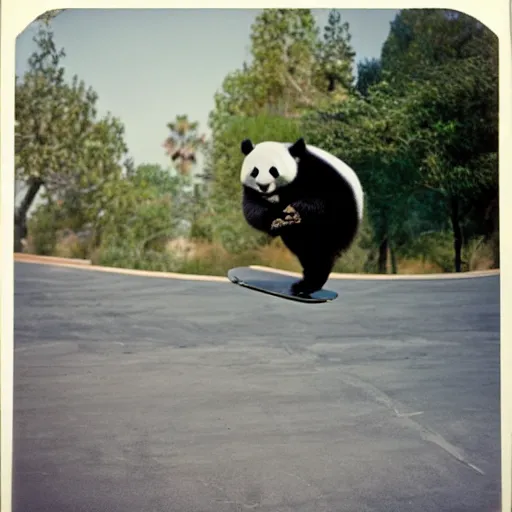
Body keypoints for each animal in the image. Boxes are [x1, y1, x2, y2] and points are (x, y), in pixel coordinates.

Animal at [240, 137, 364, 296]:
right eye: (255, 171)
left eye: (273, 170)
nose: (263, 186)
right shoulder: (252, 191)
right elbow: (252, 210)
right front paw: (275, 219)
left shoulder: (317, 174)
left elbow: (323, 200)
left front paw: (297, 209)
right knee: (305, 250)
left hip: (341, 223)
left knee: (321, 250)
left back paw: (307, 285)